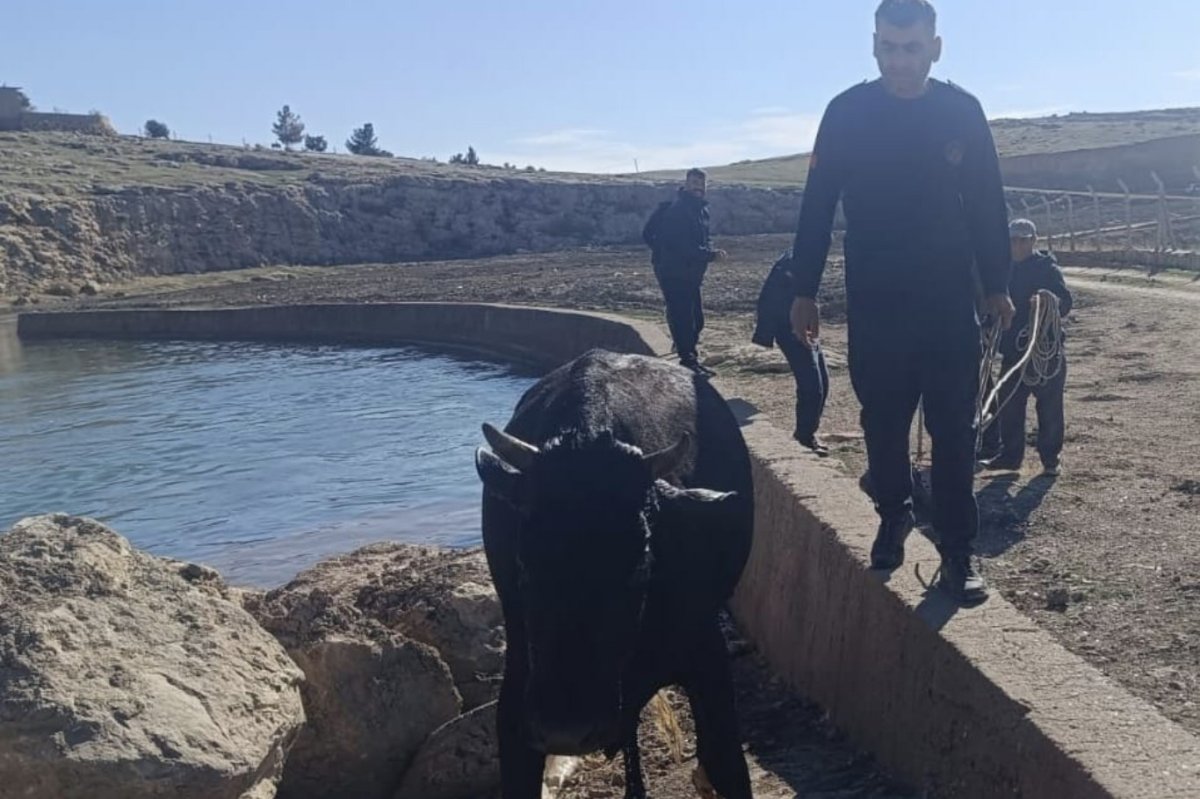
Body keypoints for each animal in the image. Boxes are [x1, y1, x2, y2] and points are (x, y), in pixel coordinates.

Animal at [475, 347, 748, 796]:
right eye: (522, 564)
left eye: (640, 563)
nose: (566, 731)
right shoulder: (518, 701)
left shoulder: (707, 653)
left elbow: (728, 765)